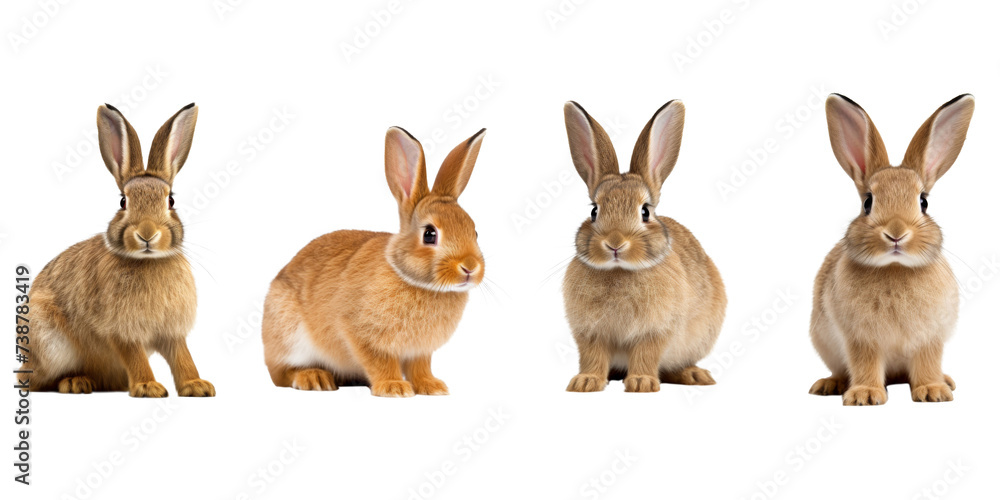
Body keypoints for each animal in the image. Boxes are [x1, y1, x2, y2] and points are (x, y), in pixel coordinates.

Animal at [20, 103, 215, 397]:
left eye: (170, 201)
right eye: (123, 202)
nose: (147, 233)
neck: (148, 261)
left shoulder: (172, 332)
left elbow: (183, 357)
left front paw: (197, 386)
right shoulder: (121, 330)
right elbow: (135, 356)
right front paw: (148, 387)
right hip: (50, 342)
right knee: (39, 380)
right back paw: (75, 382)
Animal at [262, 127, 486, 397]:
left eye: (475, 232)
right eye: (429, 234)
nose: (470, 267)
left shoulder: (420, 351)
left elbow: (420, 367)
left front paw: (432, 387)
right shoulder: (362, 335)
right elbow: (380, 362)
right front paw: (394, 387)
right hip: (290, 337)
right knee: (281, 374)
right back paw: (314, 378)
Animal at [562, 101, 727, 393]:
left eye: (645, 212)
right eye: (594, 211)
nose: (615, 243)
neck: (620, 271)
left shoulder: (655, 331)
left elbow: (645, 354)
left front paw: (641, 383)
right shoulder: (590, 333)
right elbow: (593, 356)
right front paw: (585, 382)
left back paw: (695, 376)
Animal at [809, 93, 974, 405]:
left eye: (923, 202)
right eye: (867, 203)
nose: (896, 234)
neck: (895, 268)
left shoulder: (929, 339)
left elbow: (927, 363)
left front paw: (933, 391)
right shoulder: (861, 339)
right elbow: (865, 363)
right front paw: (865, 395)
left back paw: (945, 380)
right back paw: (829, 385)